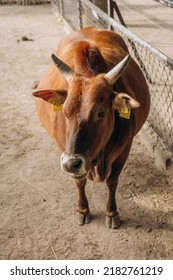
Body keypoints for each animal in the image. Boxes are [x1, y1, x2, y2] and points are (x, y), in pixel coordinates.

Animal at [32, 27, 150, 229]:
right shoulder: (63, 149)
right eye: (65, 111)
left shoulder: (124, 150)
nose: (71, 163)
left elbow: (112, 181)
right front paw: (82, 210)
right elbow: (79, 182)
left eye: (101, 113)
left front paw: (112, 213)